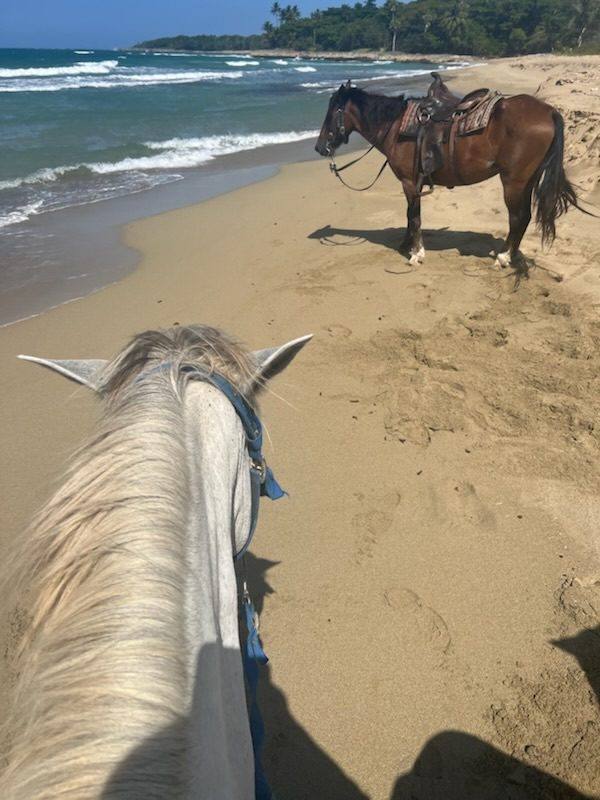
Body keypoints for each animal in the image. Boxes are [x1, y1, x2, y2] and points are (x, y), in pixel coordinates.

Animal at [315, 79, 588, 272]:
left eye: (332, 112)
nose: (319, 148)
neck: (396, 126)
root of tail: (549, 111)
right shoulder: (413, 184)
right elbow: (409, 215)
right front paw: (406, 245)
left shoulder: (409, 183)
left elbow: (414, 216)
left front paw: (416, 254)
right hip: (528, 180)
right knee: (526, 218)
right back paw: (513, 254)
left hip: (514, 181)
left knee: (518, 218)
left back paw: (503, 257)